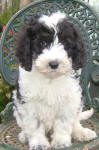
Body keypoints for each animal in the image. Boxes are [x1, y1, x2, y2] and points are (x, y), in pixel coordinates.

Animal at [12, 11, 96, 150]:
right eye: (42, 43)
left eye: (65, 43)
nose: (54, 64)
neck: (50, 79)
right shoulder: (28, 102)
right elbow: (35, 124)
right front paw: (39, 143)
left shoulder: (69, 99)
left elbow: (63, 122)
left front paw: (61, 141)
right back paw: (24, 135)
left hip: (78, 101)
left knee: (75, 121)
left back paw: (81, 132)